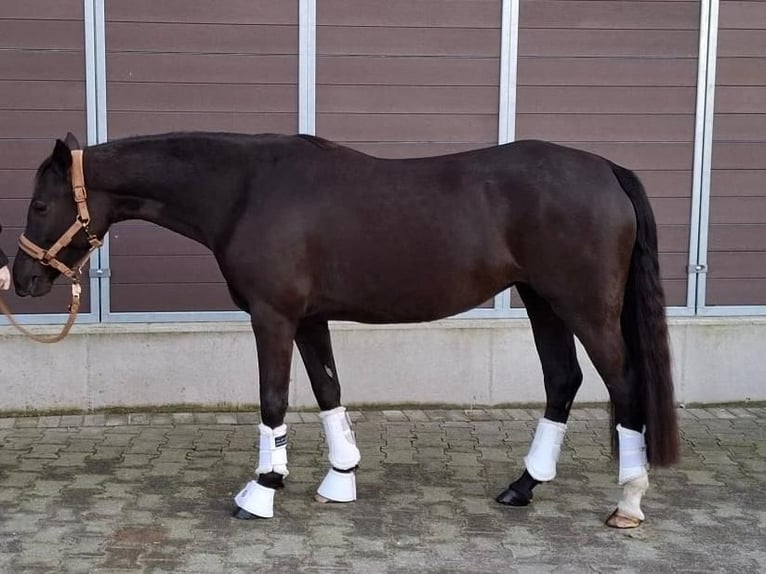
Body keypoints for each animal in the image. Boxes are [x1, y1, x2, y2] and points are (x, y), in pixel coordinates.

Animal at [13, 132, 680, 532]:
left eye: (40, 205)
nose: (21, 279)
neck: (245, 190)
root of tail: (608, 170)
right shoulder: (309, 318)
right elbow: (329, 390)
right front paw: (339, 481)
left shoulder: (273, 316)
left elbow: (273, 400)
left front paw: (262, 491)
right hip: (544, 301)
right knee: (562, 380)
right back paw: (522, 487)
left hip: (584, 307)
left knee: (624, 385)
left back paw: (627, 500)